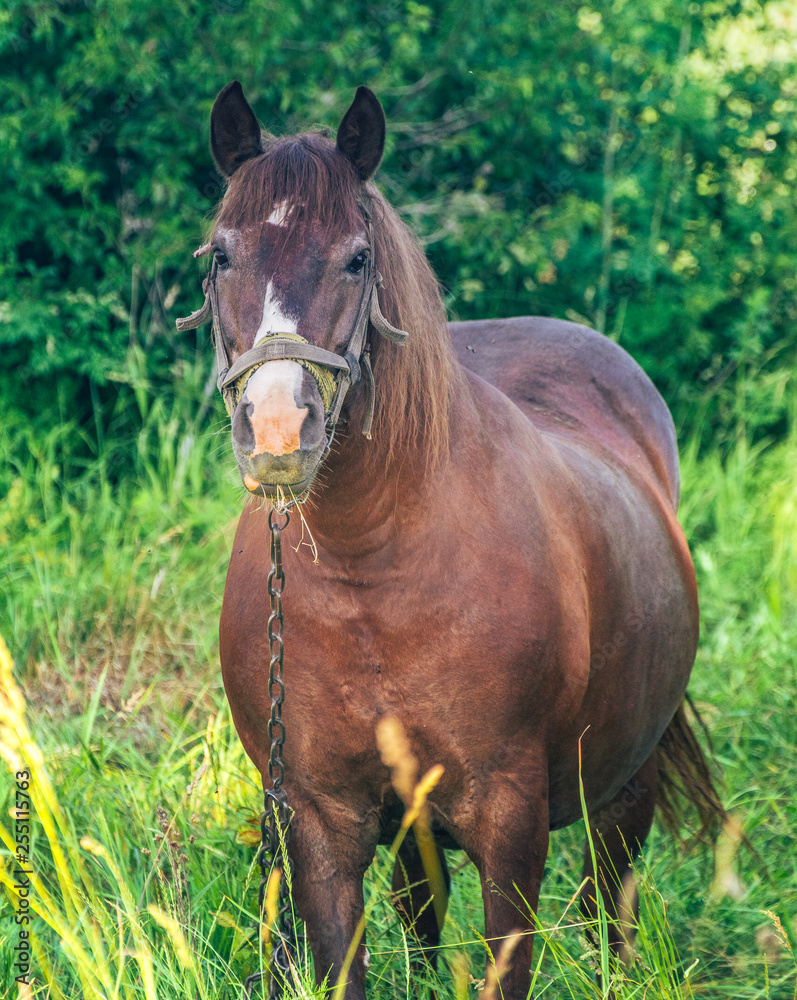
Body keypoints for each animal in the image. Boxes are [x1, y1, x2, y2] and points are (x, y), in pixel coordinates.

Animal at [181, 81, 724, 998]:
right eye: (221, 256)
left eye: (357, 259)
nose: (281, 429)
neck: (373, 571)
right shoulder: (321, 822)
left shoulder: (510, 820)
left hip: (622, 787)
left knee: (606, 907)